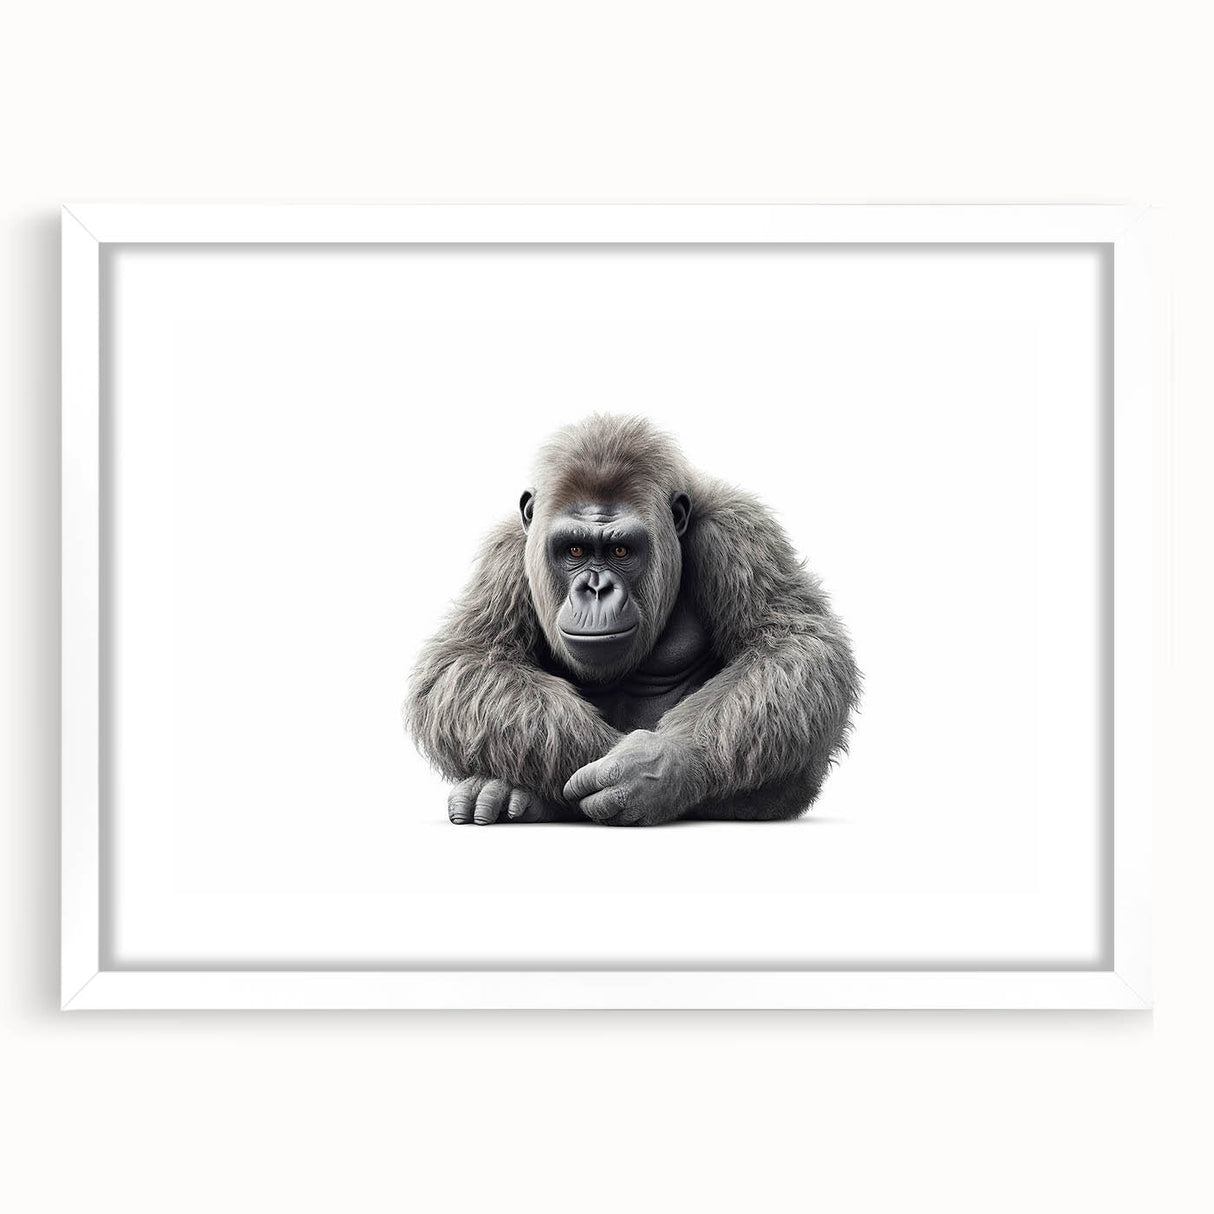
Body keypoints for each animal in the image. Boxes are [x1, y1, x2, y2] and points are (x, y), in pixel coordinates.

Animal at [404, 414, 859, 826]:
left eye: (621, 551)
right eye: (574, 550)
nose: (597, 589)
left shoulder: (737, 530)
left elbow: (791, 644)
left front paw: (658, 767)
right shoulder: (507, 551)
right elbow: (468, 660)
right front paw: (596, 763)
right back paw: (504, 792)